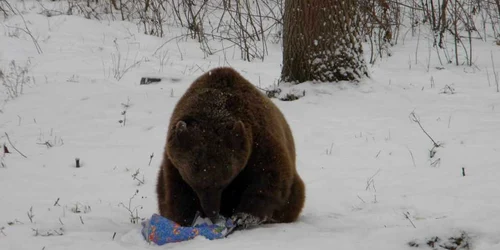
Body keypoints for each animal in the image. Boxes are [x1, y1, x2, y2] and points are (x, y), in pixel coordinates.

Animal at [155, 67, 304, 230]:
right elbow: (176, 192)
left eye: (223, 183)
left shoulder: (258, 140)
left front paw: (243, 216)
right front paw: (186, 219)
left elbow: (270, 175)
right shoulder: (173, 160)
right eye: (195, 184)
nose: (212, 212)